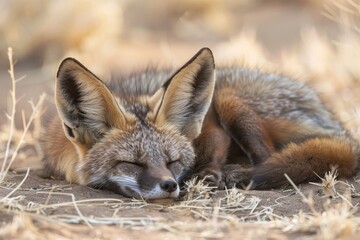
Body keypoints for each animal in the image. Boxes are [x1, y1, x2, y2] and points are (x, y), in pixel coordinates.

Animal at [40, 47, 360, 199]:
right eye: (131, 163)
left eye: (172, 161)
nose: (169, 185)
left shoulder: (211, 127)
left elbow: (215, 148)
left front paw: (209, 172)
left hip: (229, 99)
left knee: (270, 159)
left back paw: (239, 173)